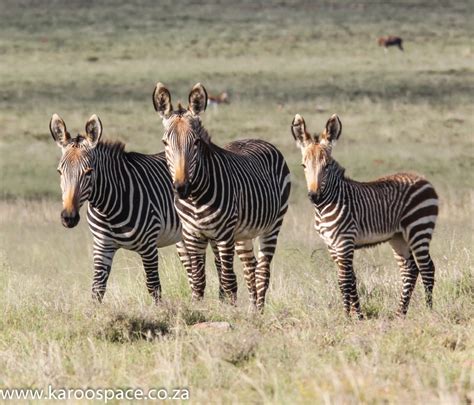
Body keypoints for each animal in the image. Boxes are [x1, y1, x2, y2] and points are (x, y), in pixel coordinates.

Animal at [49, 112, 198, 302]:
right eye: (60, 172)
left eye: (89, 172)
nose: (68, 218)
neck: (109, 209)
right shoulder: (102, 245)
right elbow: (97, 289)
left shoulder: (149, 246)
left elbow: (154, 287)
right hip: (183, 235)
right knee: (192, 269)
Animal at [154, 81, 290, 310]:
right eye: (165, 143)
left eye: (196, 142)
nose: (181, 188)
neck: (195, 198)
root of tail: (257, 139)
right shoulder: (192, 234)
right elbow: (198, 281)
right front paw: (198, 310)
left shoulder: (225, 235)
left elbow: (227, 280)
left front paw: (230, 312)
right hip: (244, 233)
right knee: (250, 269)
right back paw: (253, 310)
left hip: (272, 225)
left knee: (262, 271)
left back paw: (259, 311)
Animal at [290, 113, 438, 316]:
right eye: (303, 165)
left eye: (327, 166)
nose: (314, 196)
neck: (326, 204)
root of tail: (424, 179)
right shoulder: (332, 245)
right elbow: (347, 279)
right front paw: (355, 314)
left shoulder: (344, 242)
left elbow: (345, 280)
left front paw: (348, 316)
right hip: (399, 237)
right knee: (410, 269)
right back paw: (400, 312)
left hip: (419, 229)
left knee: (427, 267)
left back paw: (429, 310)